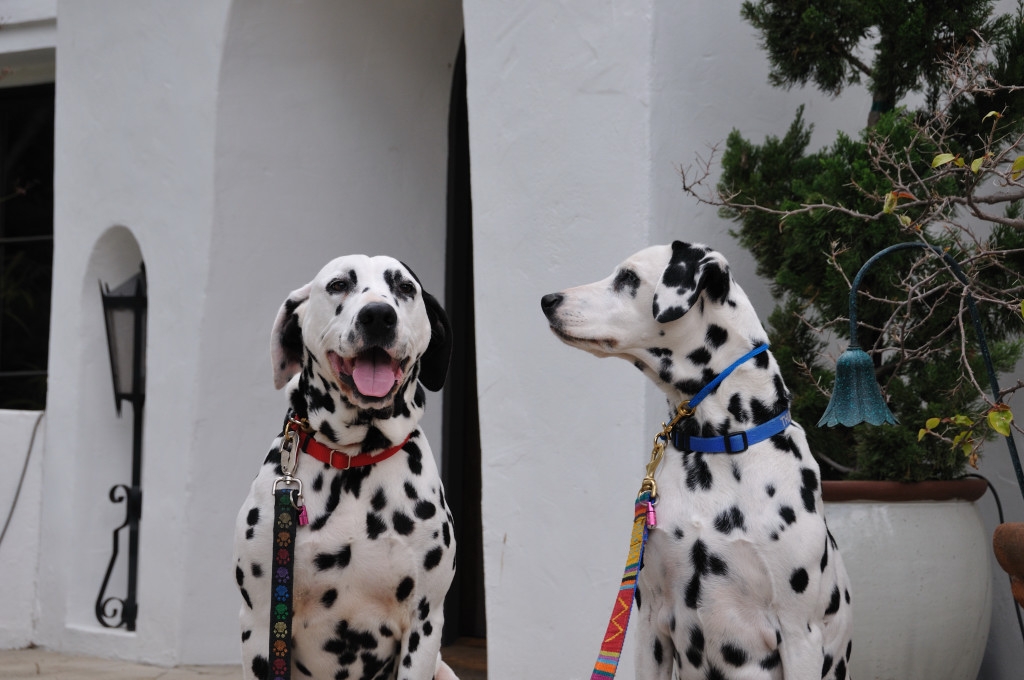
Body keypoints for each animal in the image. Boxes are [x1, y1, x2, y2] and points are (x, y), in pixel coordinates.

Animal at [235, 255, 460, 680]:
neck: (355, 457)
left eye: (405, 287)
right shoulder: (260, 621)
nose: (378, 316)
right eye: (338, 284)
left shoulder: (425, 623)